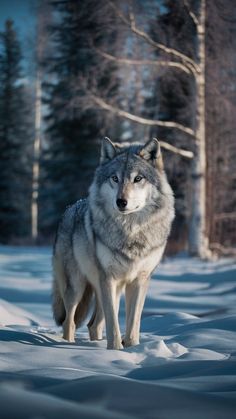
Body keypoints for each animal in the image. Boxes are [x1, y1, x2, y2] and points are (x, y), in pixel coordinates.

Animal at [52, 139, 174, 352]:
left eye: (138, 178)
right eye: (115, 178)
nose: (121, 201)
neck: (131, 232)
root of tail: (69, 209)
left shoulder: (139, 280)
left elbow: (133, 323)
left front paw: (132, 349)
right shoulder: (109, 279)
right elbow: (114, 325)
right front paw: (117, 351)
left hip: (107, 291)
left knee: (93, 325)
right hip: (77, 287)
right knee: (70, 322)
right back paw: (68, 345)